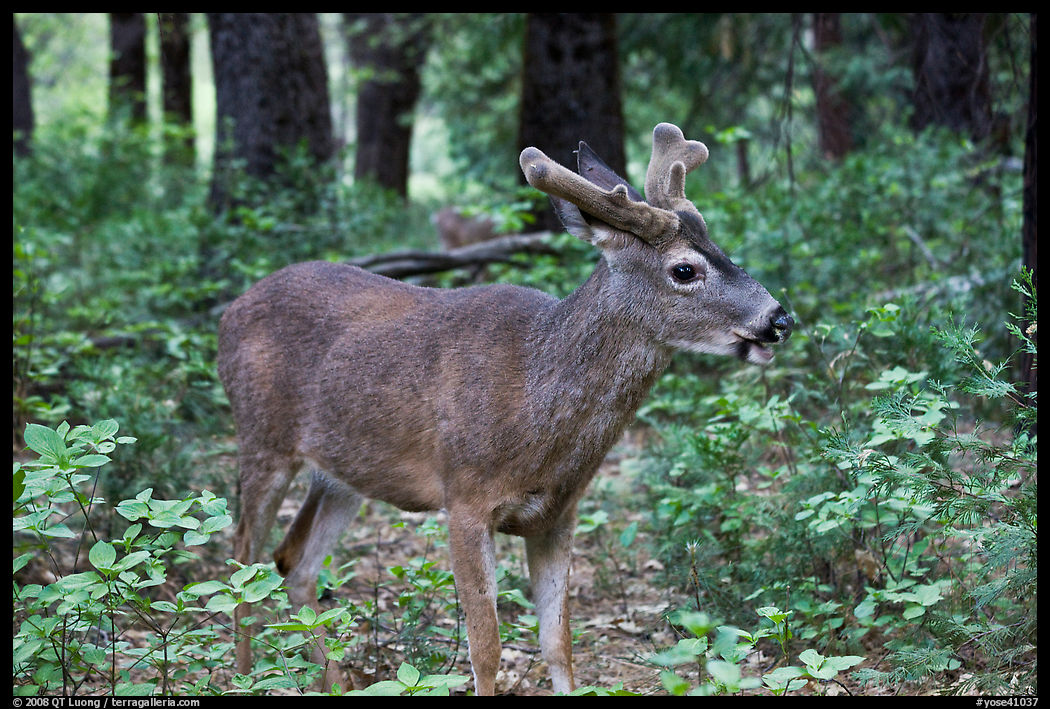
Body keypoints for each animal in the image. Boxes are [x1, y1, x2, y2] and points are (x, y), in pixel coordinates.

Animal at [217, 122, 793, 695]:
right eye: (684, 269)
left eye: (721, 247)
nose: (779, 318)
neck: (534, 408)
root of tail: (229, 313)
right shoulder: (464, 498)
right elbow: (486, 651)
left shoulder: (558, 515)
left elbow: (559, 645)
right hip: (261, 437)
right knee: (242, 555)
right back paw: (241, 676)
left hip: (343, 473)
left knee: (294, 562)